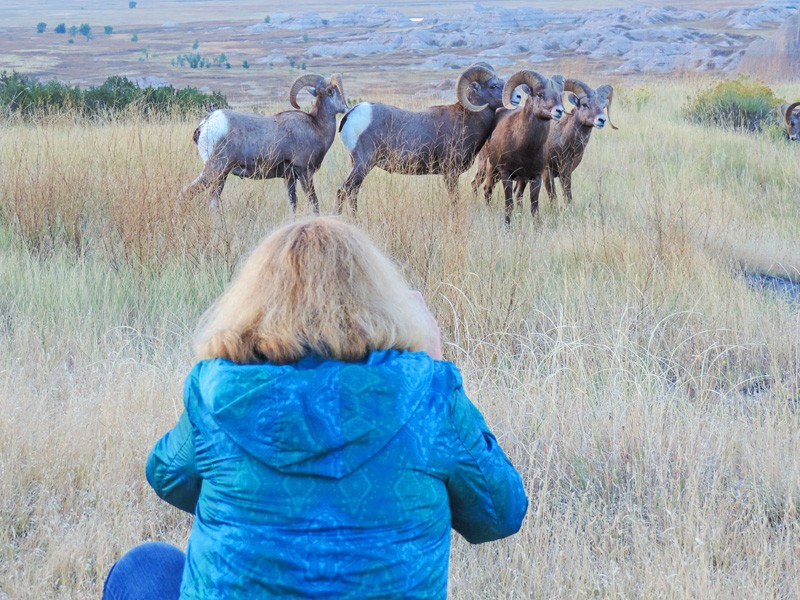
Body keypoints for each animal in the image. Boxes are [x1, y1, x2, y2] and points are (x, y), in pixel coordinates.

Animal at [180, 74, 346, 216]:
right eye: (330, 91)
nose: (344, 107)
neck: (316, 126)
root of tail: (205, 123)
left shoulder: (290, 178)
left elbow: (293, 205)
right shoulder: (304, 173)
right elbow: (314, 203)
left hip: (221, 175)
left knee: (210, 201)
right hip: (215, 170)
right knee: (188, 193)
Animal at [334, 63, 504, 212]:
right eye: (493, 86)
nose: (511, 97)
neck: (466, 120)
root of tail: (351, 114)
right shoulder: (451, 173)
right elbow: (454, 200)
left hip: (358, 165)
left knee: (352, 192)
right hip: (363, 163)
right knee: (343, 190)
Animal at [478, 71, 564, 226]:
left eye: (560, 95)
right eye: (540, 94)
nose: (559, 111)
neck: (525, 147)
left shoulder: (535, 177)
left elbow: (534, 207)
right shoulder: (506, 174)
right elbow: (509, 204)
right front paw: (507, 227)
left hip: (520, 179)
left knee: (518, 195)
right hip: (491, 170)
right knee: (487, 190)